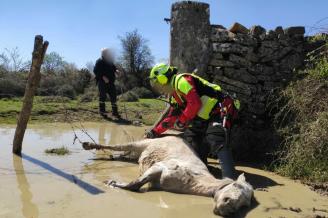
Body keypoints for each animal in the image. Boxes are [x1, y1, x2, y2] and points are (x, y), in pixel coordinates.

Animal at [82, 135, 254, 215]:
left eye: (246, 205)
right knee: (118, 146)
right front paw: (112, 183)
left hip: (141, 152)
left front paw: (113, 182)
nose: (228, 207)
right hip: (143, 143)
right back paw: (88, 145)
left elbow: (137, 185)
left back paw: (112, 157)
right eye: (236, 185)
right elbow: (135, 184)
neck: (193, 180)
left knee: (125, 155)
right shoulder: (160, 167)